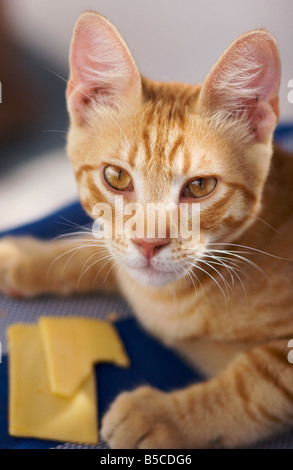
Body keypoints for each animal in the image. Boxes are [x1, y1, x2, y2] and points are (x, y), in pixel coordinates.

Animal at [0, 11, 292, 448]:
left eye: (200, 186)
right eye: (117, 177)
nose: (149, 244)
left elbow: (258, 381)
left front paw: (161, 416)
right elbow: (100, 249)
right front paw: (27, 257)